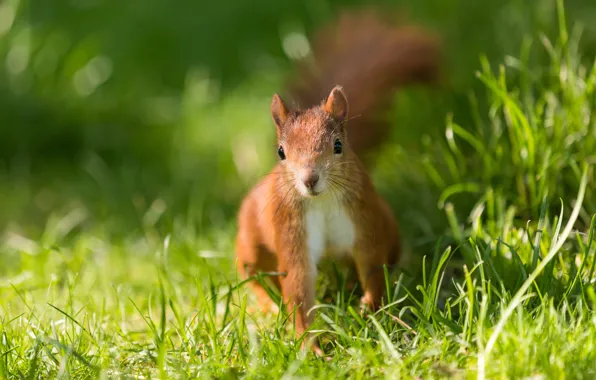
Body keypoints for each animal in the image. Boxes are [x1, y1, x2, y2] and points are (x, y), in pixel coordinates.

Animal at [235, 7, 440, 354]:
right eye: (281, 152)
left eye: (338, 145)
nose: (310, 179)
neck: (322, 202)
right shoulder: (291, 230)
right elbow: (298, 285)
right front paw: (309, 347)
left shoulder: (364, 221)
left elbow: (372, 266)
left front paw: (369, 311)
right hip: (250, 241)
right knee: (254, 274)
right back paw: (270, 306)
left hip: (387, 223)